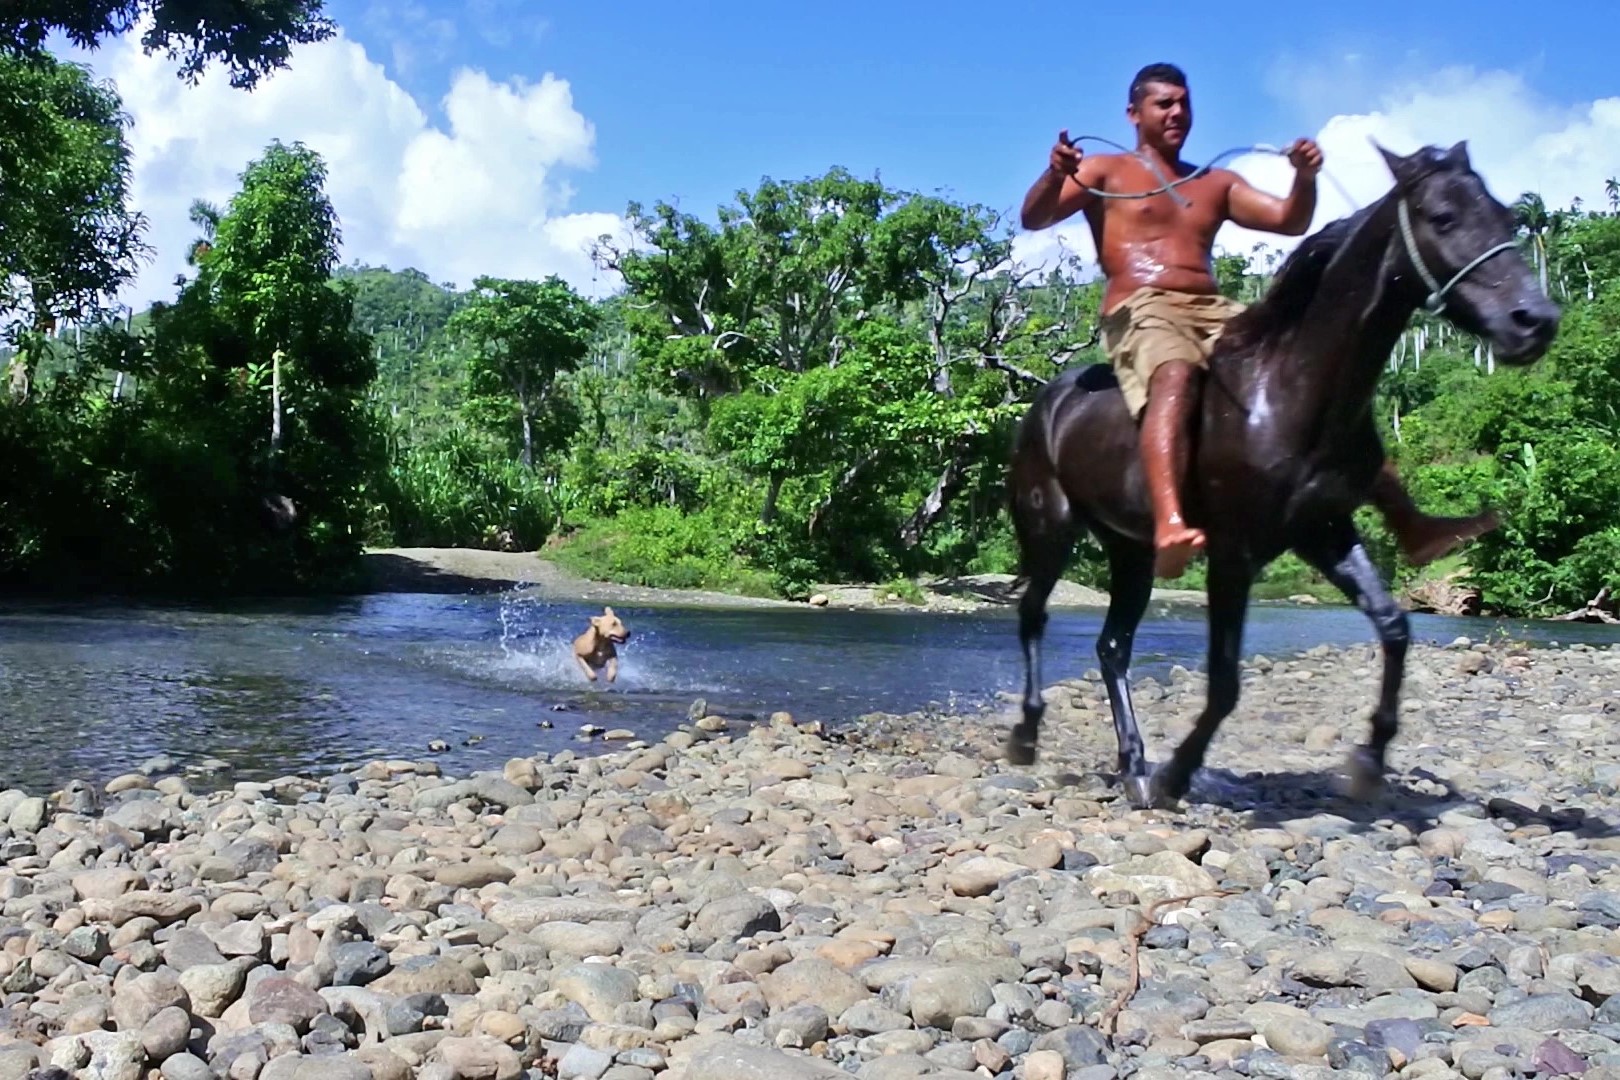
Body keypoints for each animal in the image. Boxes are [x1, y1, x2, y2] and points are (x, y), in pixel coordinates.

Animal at [1010, 141, 1555, 809]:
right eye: (1442, 217)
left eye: (1506, 217)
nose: (1535, 320)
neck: (1288, 390)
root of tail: (1048, 402)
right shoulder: (1233, 554)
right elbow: (1224, 683)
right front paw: (1176, 775)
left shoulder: (1324, 532)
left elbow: (1396, 628)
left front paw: (1369, 760)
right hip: (1050, 529)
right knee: (1033, 615)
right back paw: (1029, 737)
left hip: (1130, 551)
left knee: (1111, 649)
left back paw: (1133, 764)